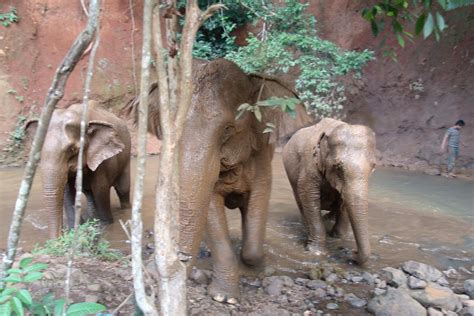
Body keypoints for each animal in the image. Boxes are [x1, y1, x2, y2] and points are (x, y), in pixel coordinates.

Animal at [26, 101, 132, 239]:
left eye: (72, 149)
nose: (58, 237)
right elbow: (68, 192)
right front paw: (75, 227)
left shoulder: (102, 161)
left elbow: (100, 189)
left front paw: (105, 225)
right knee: (89, 193)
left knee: (123, 189)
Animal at [125, 58, 312, 302]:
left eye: (228, 129)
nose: (180, 260)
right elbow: (211, 207)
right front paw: (225, 298)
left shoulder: (261, 153)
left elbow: (259, 198)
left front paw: (258, 268)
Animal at [282, 118, 378, 264]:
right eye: (338, 167)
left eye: (373, 167)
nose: (353, 252)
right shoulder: (309, 167)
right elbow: (309, 196)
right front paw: (317, 252)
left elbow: (344, 201)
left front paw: (339, 237)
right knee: (300, 201)